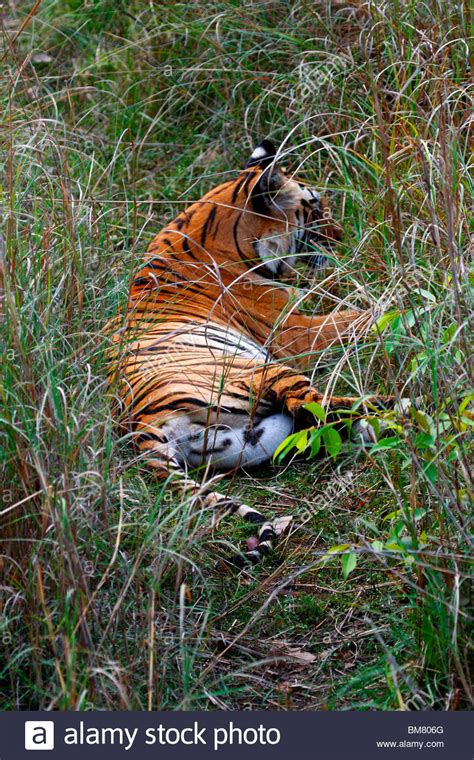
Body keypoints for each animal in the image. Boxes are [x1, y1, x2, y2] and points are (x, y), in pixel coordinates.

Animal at [108, 140, 378, 568]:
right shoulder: (296, 332)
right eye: (315, 206)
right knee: (318, 404)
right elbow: (358, 316)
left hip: (250, 439)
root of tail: (139, 425)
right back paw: (399, 411)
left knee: (312, 425)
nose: (341, 236)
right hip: (260, 370)